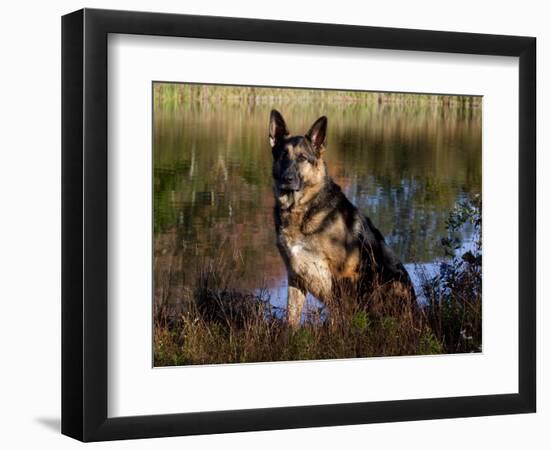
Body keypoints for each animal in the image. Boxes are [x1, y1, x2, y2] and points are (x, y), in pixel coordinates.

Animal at [270, 109, 416, 326]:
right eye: (282, 155)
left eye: (303, 158)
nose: (287, 179)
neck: (301, 209)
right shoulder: (295, 276)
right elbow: (291, 318)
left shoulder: (343, 275)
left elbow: (339, 318)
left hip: (390, 282)